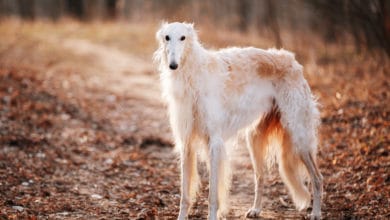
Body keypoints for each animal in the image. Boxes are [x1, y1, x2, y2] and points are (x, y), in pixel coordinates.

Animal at [155, 22, 322, 220]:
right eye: (167, 37)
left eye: (183, 38)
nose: (173, 65)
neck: (193, 75)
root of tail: (293, 61)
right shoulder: (186, 142)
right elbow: (185, 195)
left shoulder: (214, 142)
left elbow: (213, 195)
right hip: (255, 139)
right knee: (260, 176)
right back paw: (255, 209)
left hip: (299, 137)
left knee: (318, 178)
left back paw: (316, 212)